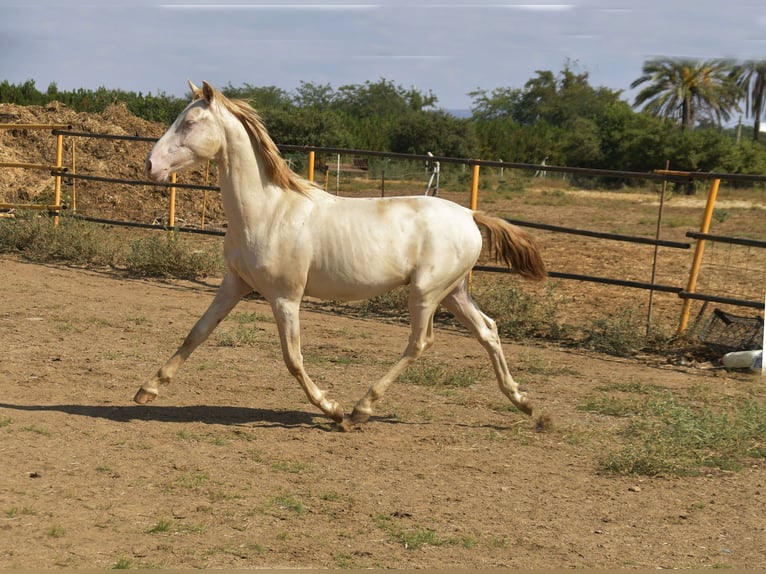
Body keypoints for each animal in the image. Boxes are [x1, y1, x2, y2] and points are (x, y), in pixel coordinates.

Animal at [135, 82, 548, 432]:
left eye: (190, 122)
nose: (150, 165)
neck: (269, 211)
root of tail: (469, 214)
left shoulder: (285, 297)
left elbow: (293, 358)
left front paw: (330, 408)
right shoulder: (235, 283)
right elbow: (198, 332)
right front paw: (147, 389)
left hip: (426, 293)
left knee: (422, 342)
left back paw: (359, 411)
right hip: (453, 291)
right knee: (487, 330)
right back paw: (529, 406)